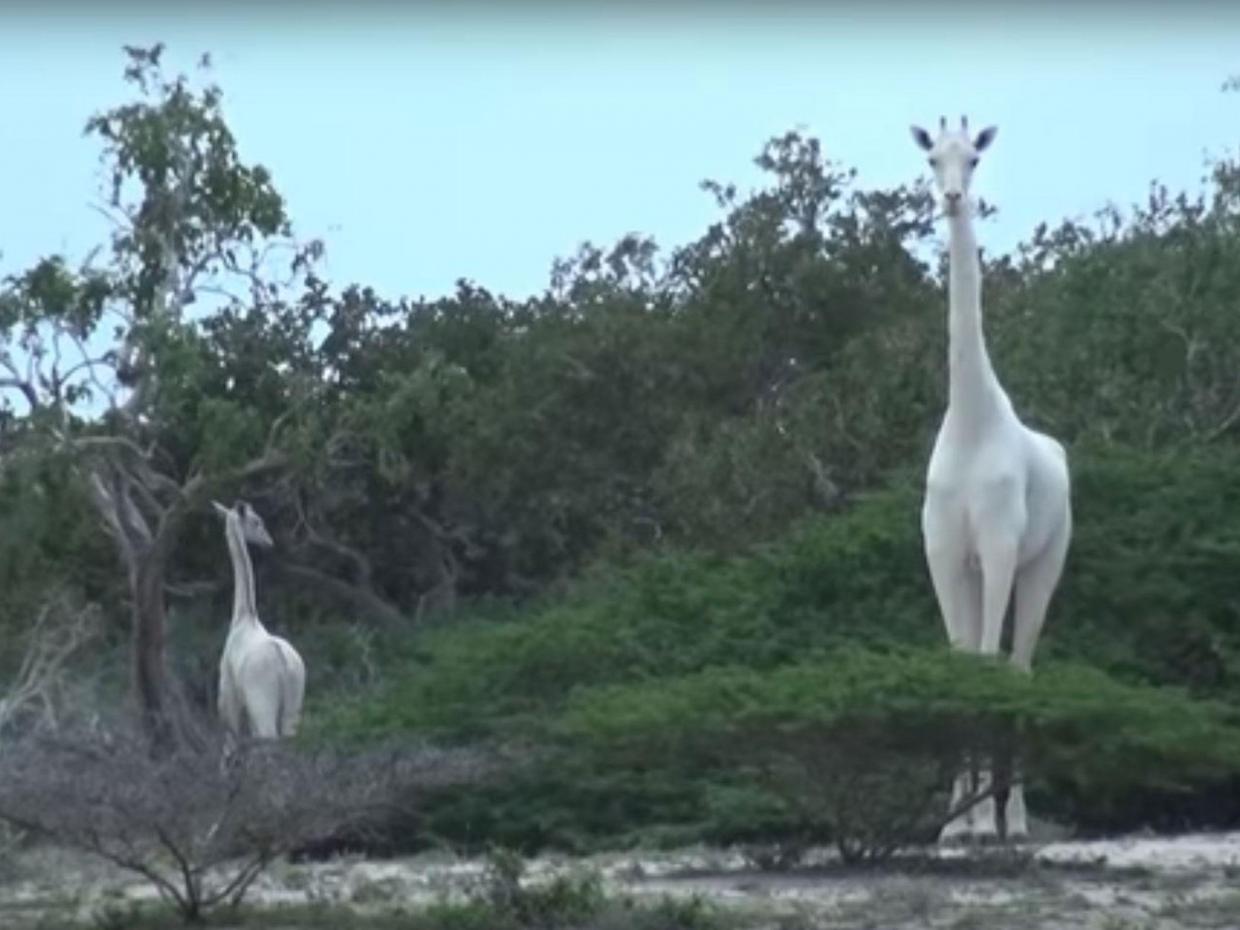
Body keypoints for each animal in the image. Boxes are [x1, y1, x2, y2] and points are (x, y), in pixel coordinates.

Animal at [213, 498, 305, 748]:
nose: (269, 543)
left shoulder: (229, 698)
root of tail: (283, 663)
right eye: (256, 521)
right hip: (293, 704)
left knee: (268, 737)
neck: (243, 617)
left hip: (261, 702)